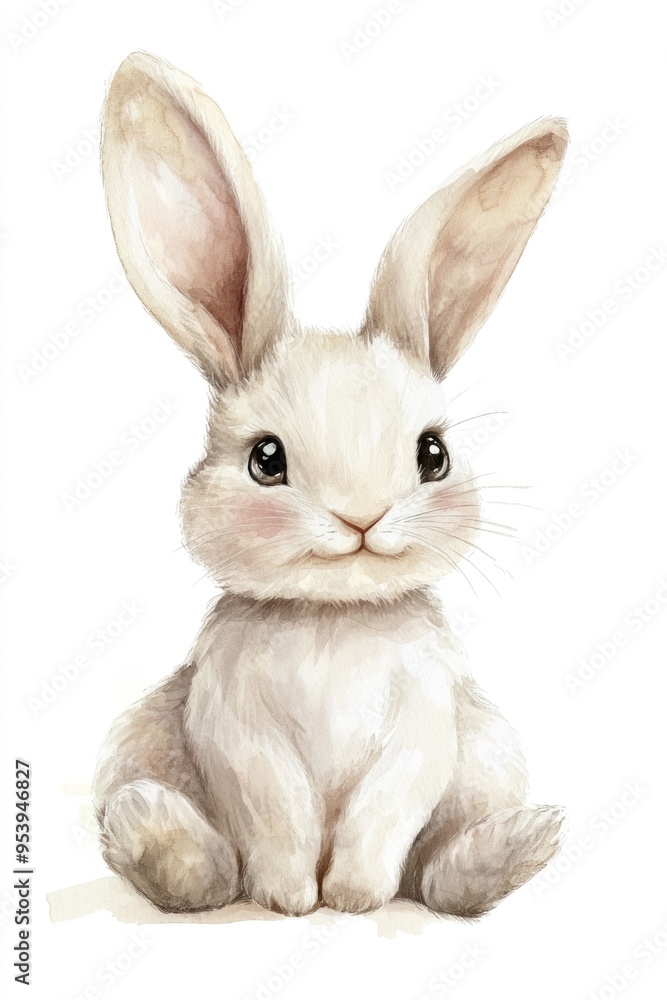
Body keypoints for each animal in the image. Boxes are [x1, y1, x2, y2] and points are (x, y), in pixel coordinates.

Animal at [93, 50, 568, 918]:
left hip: (485, 765)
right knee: (207, 872)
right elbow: (277, 808)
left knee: (438, 876)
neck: (332, 618)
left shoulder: (424, 728)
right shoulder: (234, 729)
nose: (361, 518)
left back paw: (513, 848)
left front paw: (350, 899)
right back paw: (155, 835)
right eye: (265, 460)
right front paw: (289, 899)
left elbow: (384, 811)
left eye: (431, 454)